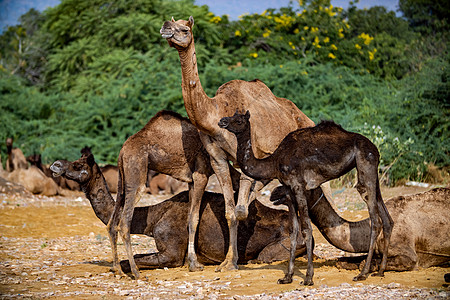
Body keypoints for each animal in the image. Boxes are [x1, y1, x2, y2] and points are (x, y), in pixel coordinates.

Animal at [49, 152, 310, 270]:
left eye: (78, 165)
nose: (56, 164)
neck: (154, 217)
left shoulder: (172, 253)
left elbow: (126, 262)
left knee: (265, 256)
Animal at [161, 16, 334, 272]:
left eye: (184, 29)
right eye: (171, 23)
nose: (165, 27)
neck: (216, 114)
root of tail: (305, 118)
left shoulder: (247, 155)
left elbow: (241, 209)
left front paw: (232, 261)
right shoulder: (217, 157)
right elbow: (230, 212)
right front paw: (227, 262)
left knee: (328, 191)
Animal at [219, 111, 394, 284]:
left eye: (239, 120)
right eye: (232, 115)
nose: (222, 121)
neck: (275, 161)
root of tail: (375, 148)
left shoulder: (299, 186)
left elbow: (306, 229)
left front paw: (309, 277)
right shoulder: (290, 192)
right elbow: (293, 231)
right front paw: (287, 277)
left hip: (365, 165)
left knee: (375, 220)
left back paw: (363, 273)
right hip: (373, 173)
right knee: (387, 219)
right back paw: (380, 271)